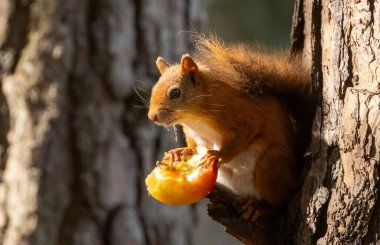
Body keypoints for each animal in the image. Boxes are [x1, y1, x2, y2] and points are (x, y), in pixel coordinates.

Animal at [147, 36, 316, 218]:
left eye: (175, 93)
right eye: (153, 89)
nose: (152, 116)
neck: (195, 118)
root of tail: (294, 172)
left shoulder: (242, 119)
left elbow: (240, 139)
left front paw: (218, 155)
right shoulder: (193, 133)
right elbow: (194, 146)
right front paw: (180, 152)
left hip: (269, 166)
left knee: (281, 200)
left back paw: (260, 207)